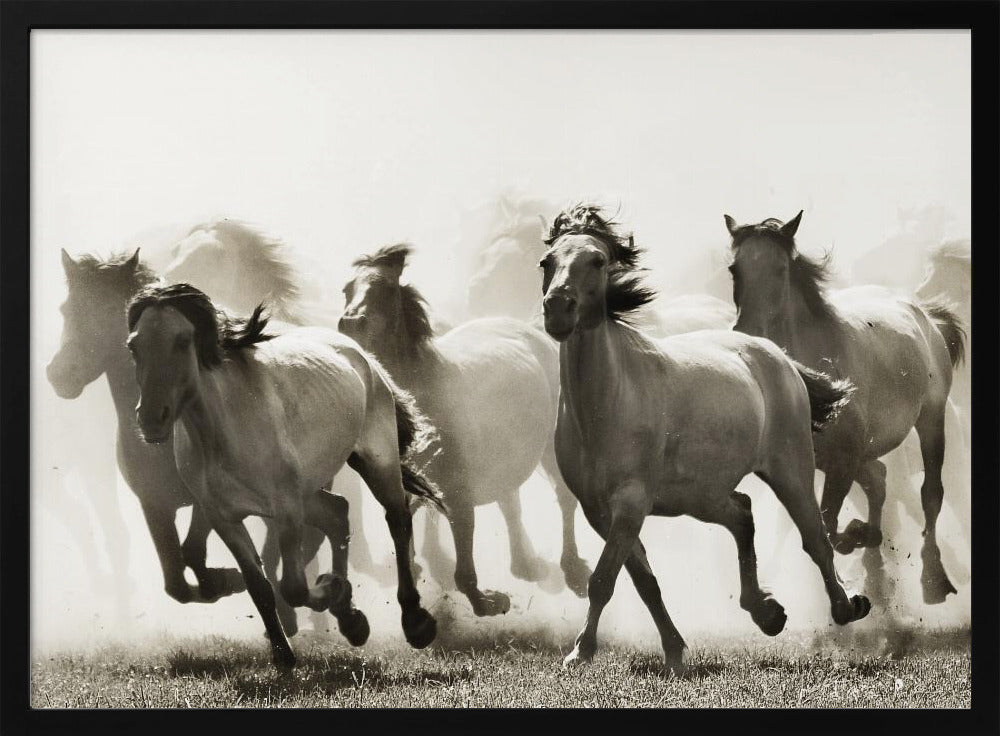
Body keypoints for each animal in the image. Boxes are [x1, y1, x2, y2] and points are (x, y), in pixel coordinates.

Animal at [125, 283, 442, 668]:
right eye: (134, 345)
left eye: (183, 340)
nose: (151, 419)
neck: (224, 430)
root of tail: (361, 355)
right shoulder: (223, 517)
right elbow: (259, 585)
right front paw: (283, 653)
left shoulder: (286, 509)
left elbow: (291, 586)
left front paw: (330, 589)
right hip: (309, 490)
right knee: (338, 512)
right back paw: (351, 621)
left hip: (376, 461)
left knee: (396, 519)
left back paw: (415, 623)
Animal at [339, 244, 593, 616]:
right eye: (347, 289)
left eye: (384, 289)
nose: (349, 324)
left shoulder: (458, 491)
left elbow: (463, 565)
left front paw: (488, 601)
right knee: (510, 501)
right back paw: (526, 565)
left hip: (550, 446)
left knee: (563, 499)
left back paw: (573, 571)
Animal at [538, 204, 870, 670]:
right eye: (547, 263)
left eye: (598, 261)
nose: (557, 309)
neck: (606, 404)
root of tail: (778, 355)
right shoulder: (598, 511)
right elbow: (644, 582)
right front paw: (674, 651)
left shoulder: (630, 503)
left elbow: (603, 579)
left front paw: (579, 653)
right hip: (701, 496)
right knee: (743, 513)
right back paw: (767, 612)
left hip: (790, 470)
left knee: (816, 539)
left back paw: (846, 606)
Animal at [723, 211, 966, 608]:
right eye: (734, 269)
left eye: (780, 268)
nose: (748, 331)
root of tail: (927, 316)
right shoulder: (816, 464)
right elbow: (826, 525)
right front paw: (862, 540)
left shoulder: (844, 459)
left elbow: (829, 525)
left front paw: (857, 540)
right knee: (879, 480)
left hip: (931, 419)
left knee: (930, 494)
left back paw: (933, 579)